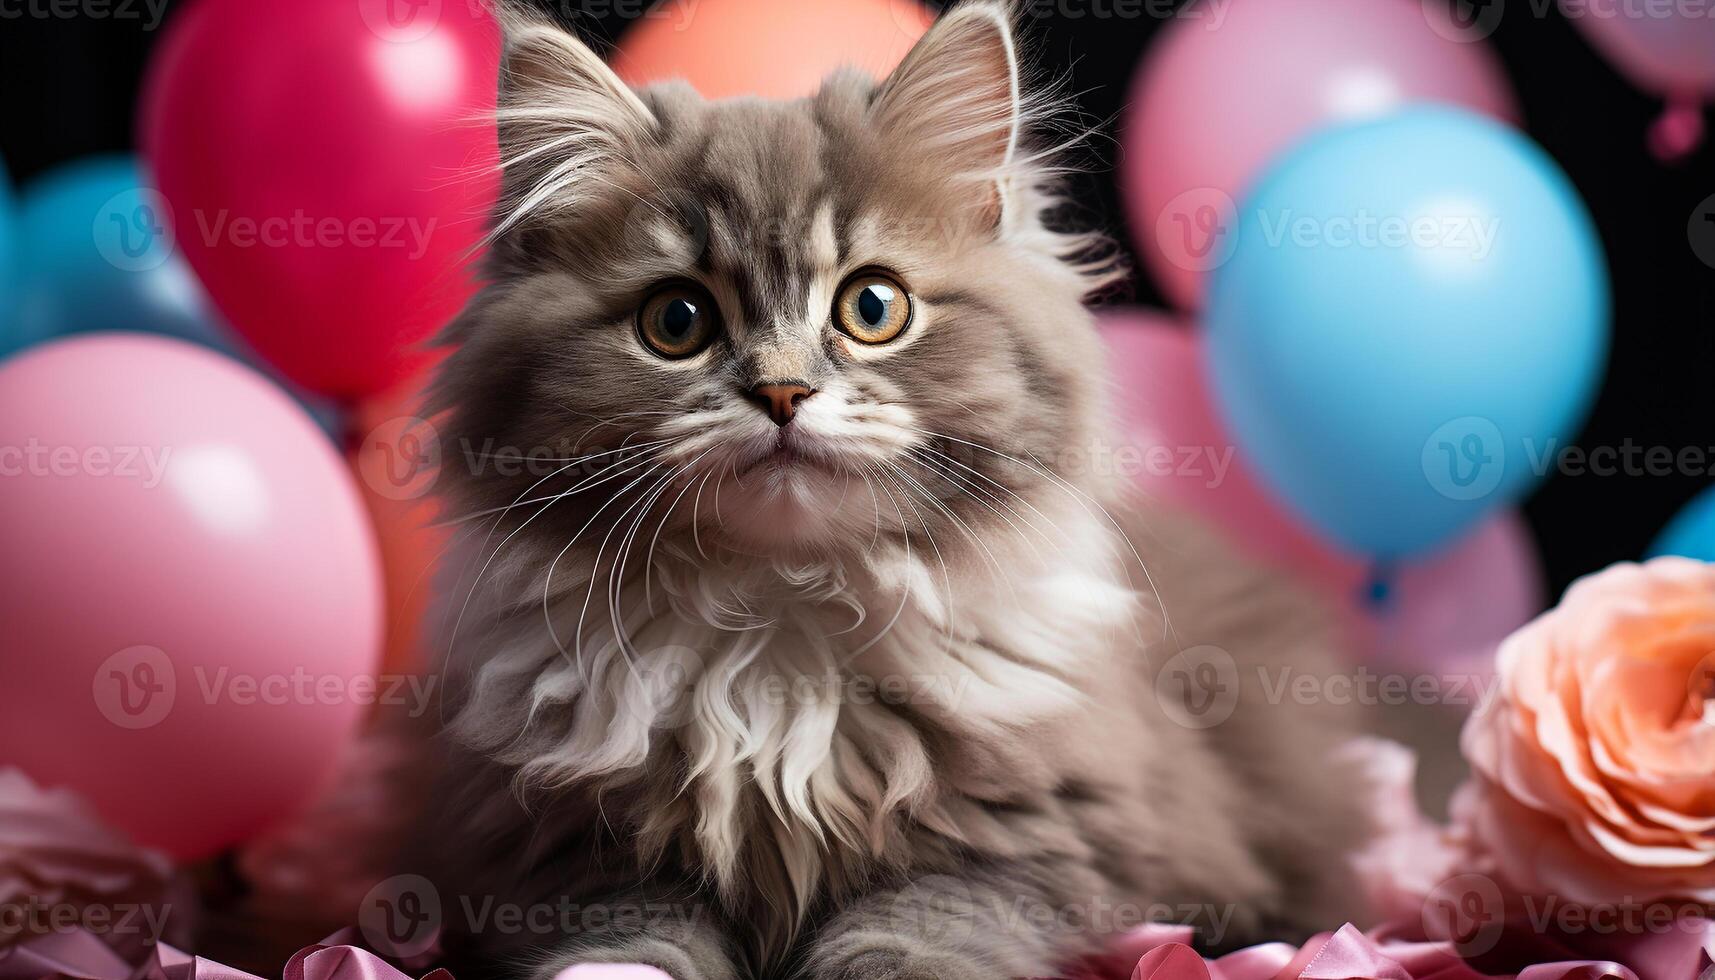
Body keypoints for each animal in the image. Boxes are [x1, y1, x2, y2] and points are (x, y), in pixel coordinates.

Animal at [408, 3, 1372, 974]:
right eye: (675, 322)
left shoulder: (1021, 843)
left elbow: (912, 939)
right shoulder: (569, 853)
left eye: (872, 308)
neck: (779, 633)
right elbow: (626, 944)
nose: (782, 392)